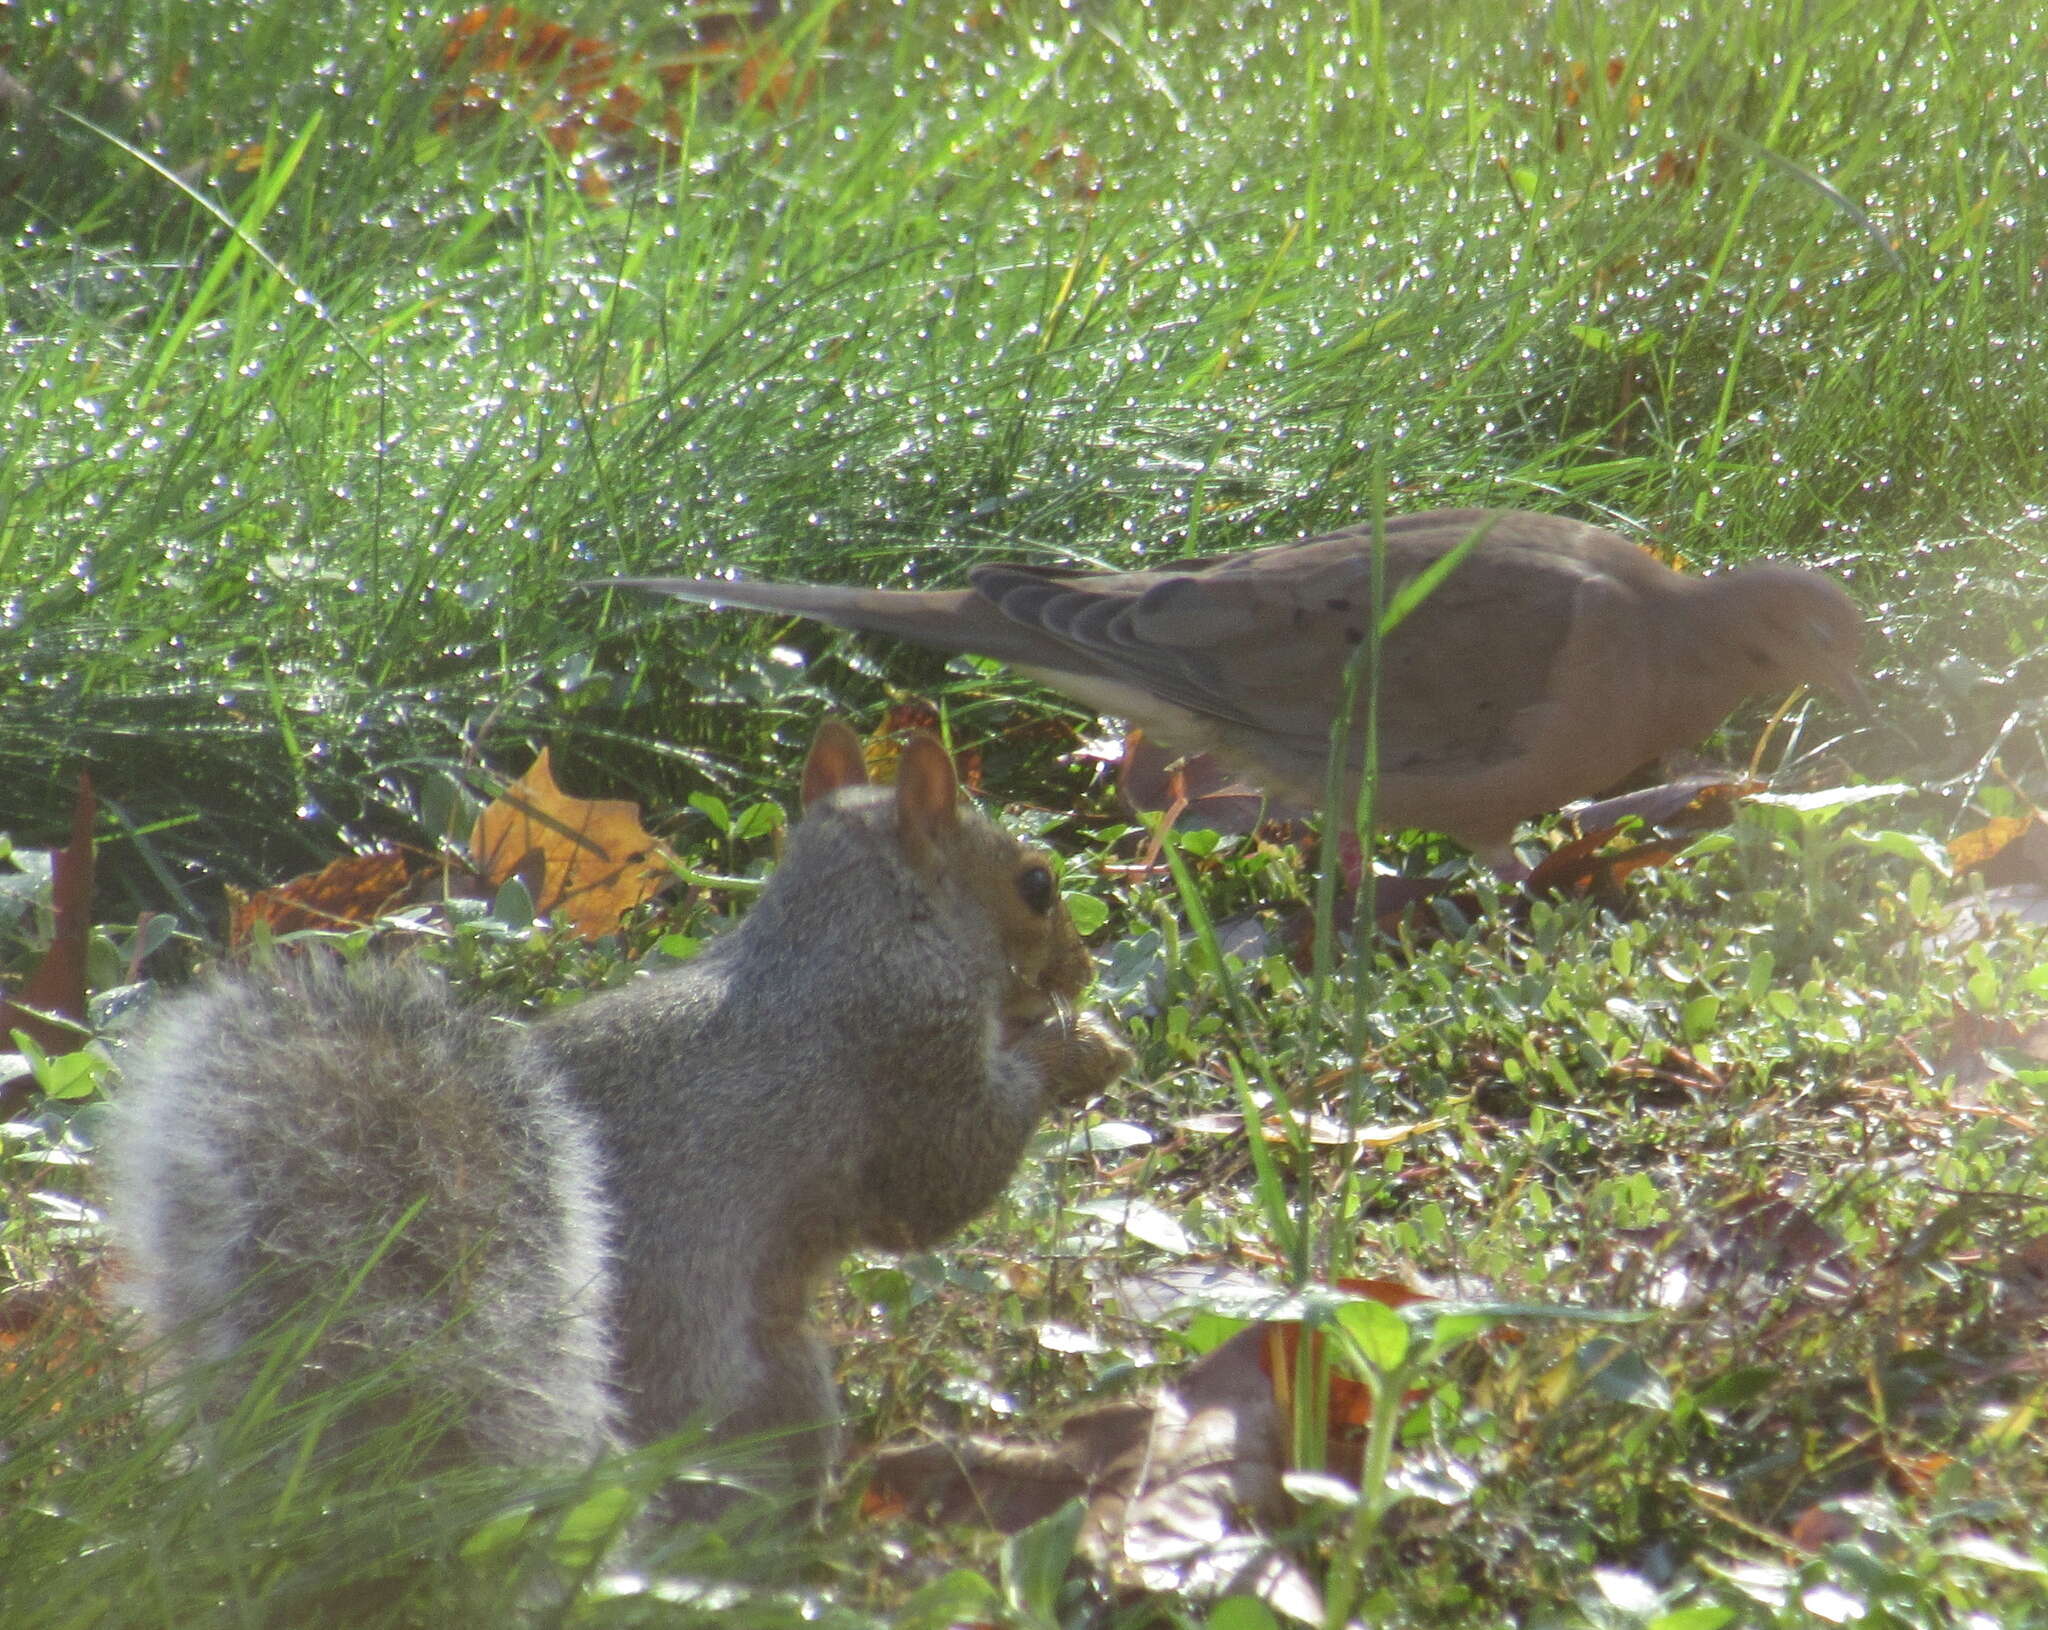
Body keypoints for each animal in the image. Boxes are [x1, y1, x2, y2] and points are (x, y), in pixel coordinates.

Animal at [103, 724, 1130, 1515]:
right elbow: (943, 1184)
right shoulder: (907, 1051)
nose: (1082, 969)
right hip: (767, 1388)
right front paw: (1077, 1048)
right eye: (1036, 885)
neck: (844, 933)